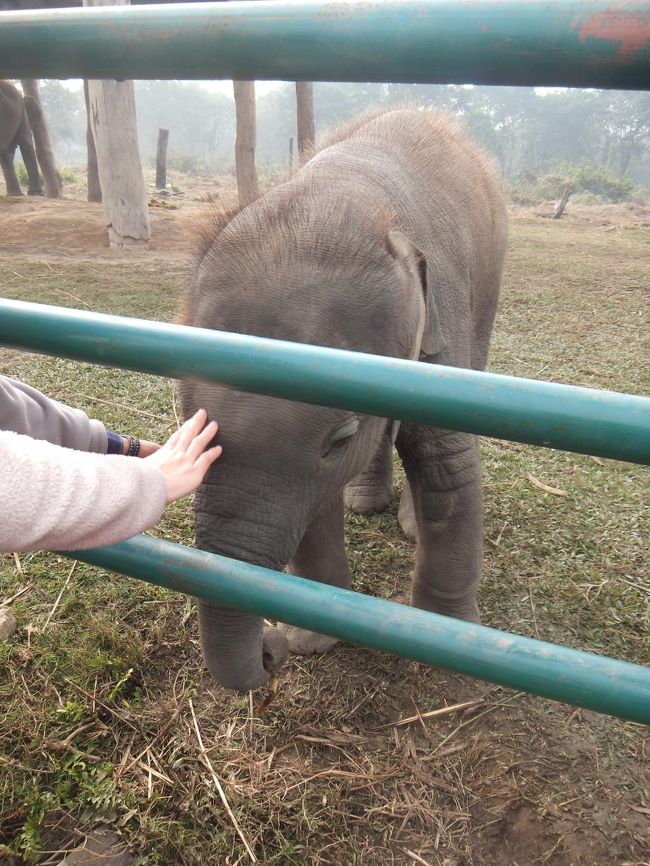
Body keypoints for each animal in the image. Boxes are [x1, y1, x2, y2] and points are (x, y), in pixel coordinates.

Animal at [181, 108, 506, 688]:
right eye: (184, 410)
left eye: (339, 439)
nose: (270, 650)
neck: (342, 193)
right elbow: (312, 500)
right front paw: (308, 642)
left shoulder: (441, 322)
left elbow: (448, 466)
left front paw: (448, 658)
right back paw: (365, 502)